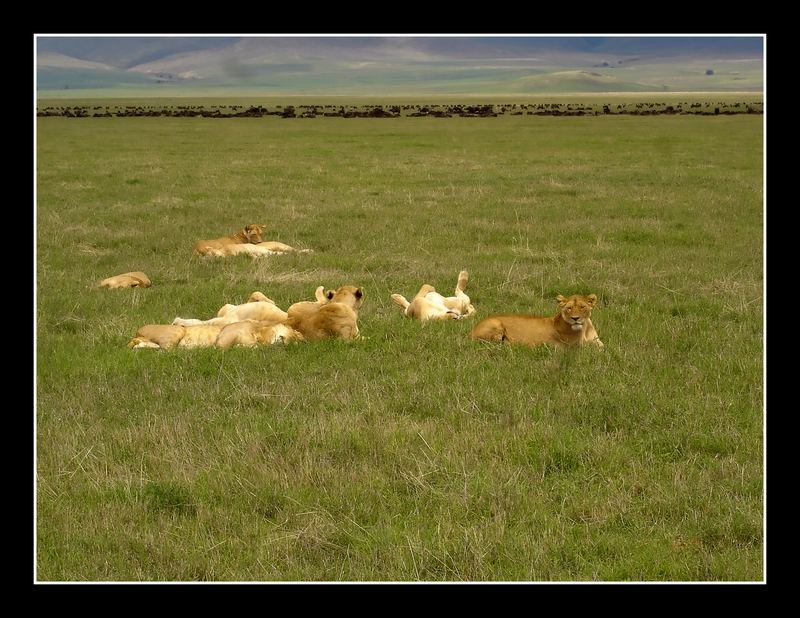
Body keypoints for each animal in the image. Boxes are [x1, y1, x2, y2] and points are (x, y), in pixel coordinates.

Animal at [468, 292, 600, 346]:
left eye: (582, 307)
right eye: (569, 308)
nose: (575, 318)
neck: (584, 329)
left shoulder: (599, 344)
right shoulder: (571, 348)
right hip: (495, 324)